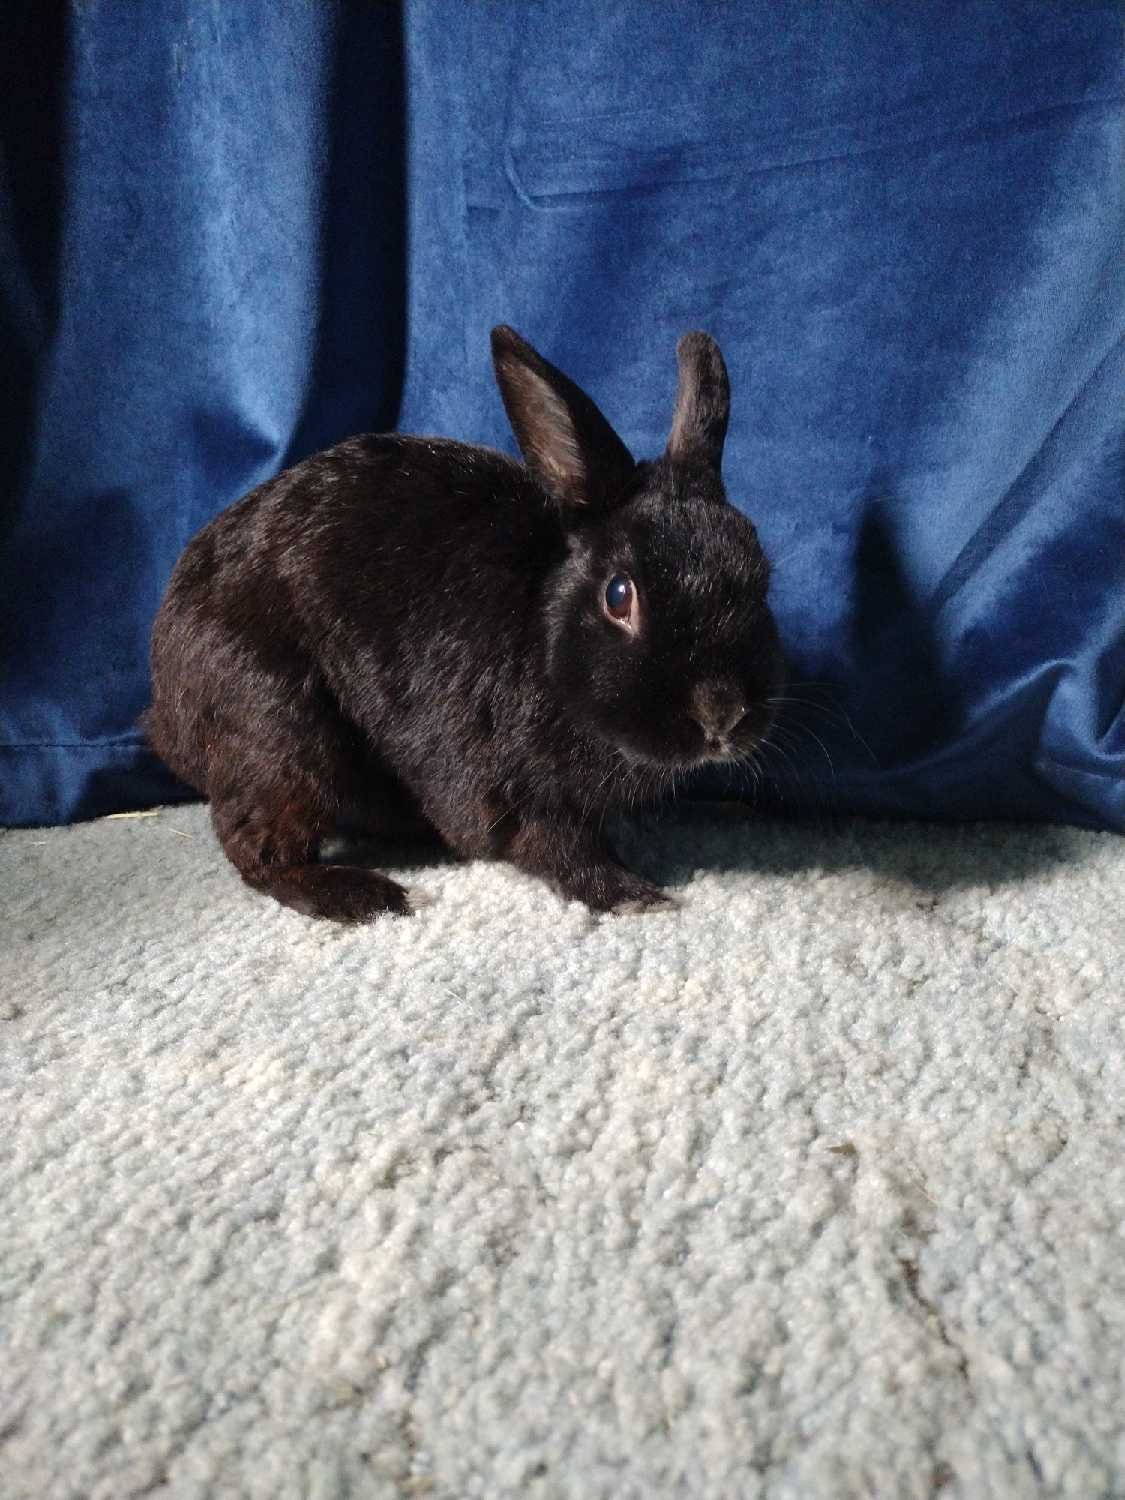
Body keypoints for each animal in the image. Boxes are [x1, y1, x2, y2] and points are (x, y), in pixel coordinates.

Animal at [144, 325, 783, 920]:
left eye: (760, 574)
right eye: (619, 595)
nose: (721, 712)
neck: (542, 627)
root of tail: (164, 707)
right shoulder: (509, 786)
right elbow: (560, 848)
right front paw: (634, 896)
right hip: (279, 728)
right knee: (259, 848)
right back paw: (369, 896)